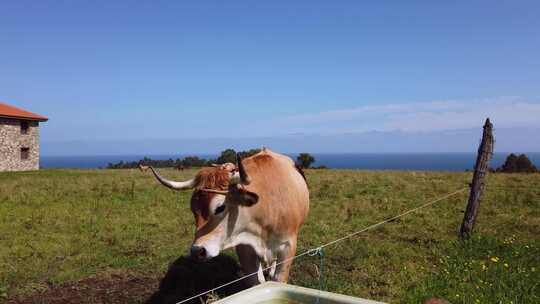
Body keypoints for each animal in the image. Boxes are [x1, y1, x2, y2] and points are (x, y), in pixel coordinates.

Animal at [140, 148, 308, 286]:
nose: (197, 251)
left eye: (220, 207)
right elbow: (256, 282)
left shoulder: (288, 246)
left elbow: (278, 279)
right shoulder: (245, 247)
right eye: (193, 209)